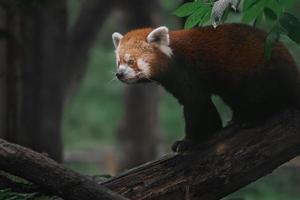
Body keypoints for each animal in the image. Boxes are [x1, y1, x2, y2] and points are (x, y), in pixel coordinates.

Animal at [111, 23, 298, 152]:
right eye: (118, 62)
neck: (174, 58)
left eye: (131, 61)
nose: (119, 74)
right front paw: (213, 128)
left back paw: (252, 117)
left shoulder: (189, 73)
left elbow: (196, 105)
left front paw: (188, 141)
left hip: (258, 71)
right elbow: (201, 105)